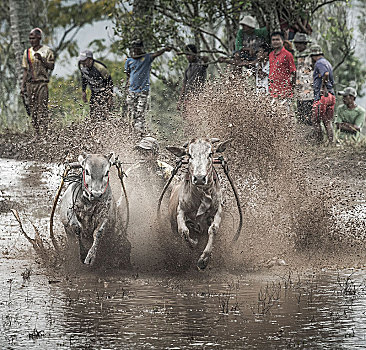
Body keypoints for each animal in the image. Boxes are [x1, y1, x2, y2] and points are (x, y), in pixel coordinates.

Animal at [167, 138, 230, 270]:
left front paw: (204, 260)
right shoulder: (181, 210)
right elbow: (183, 231)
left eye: (210, 154)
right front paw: (194, 243)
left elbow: (213, 229)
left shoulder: (218, 210)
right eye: (189, 155)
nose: (200, 178)